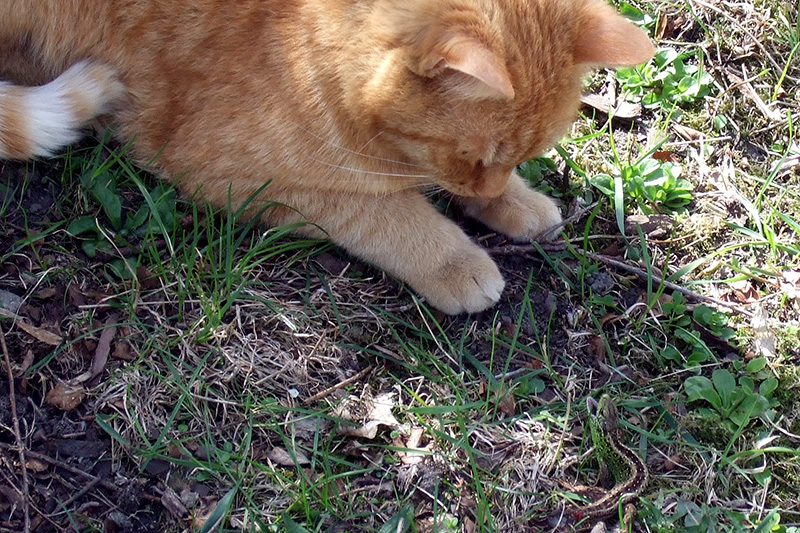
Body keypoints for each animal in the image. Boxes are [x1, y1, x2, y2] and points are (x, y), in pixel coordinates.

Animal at [0, 0, 652, 314]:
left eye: (523, 154)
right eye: (471, 155)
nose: (489, 191)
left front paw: (517, 203)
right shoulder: (228, 173)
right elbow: (388, 212)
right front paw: (455, 260)